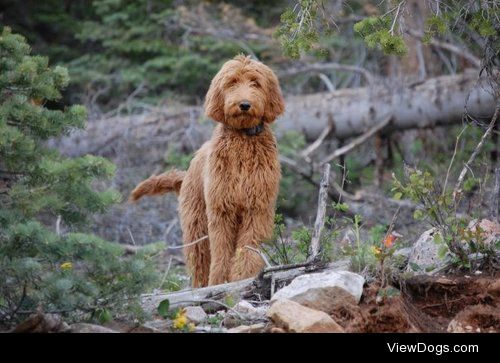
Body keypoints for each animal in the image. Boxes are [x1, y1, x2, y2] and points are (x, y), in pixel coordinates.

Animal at [129, 54, 286, 288]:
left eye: (255, 83)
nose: (244, 104)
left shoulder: (256, 209)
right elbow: (221, 253)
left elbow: (248, 249)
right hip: (196, 226)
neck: (242, 139)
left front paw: (242, 277)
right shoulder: (221, 210)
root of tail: (186, 174)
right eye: (232, 82)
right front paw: (220, 282)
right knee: (200, 261)